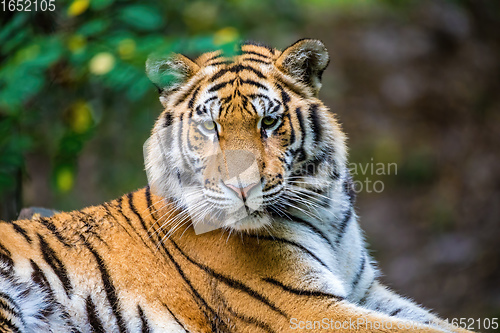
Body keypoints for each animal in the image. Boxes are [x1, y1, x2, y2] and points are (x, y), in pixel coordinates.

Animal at [0, 39, 468, 332]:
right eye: (210, 126)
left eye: (269, 122)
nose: (242, 187)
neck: (324, 208)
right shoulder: (301, 307)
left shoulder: (363, 290)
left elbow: (440, 324)